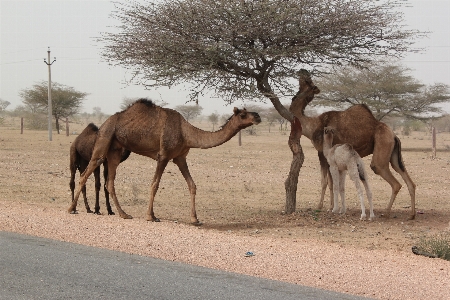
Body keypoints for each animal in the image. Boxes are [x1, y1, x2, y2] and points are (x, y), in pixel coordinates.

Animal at [68, 99, 262, 224]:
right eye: (243, 114)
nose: (258, 116)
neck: (186, 133)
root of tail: (104, 124)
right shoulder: (164, 156)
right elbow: (154, 184)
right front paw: (151, 216)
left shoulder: (180, 157)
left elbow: (192, 185)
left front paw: (195, 219)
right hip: (105, 139)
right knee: (86, 173)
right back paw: (72, 209)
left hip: (115, 150)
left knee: (109, 181)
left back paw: (123, 214)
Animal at [290, 71, 416, 219]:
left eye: (308, 83)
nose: (301, 72)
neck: (312, 125)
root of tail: (394, 135)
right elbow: (332, 182)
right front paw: (331, 207)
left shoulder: (322, 153)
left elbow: (325, 182)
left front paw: (322, 206)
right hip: (393, 155)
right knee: (408, 180)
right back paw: (412, 214)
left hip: (382, 145)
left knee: (391, 179)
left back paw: (386, 212)